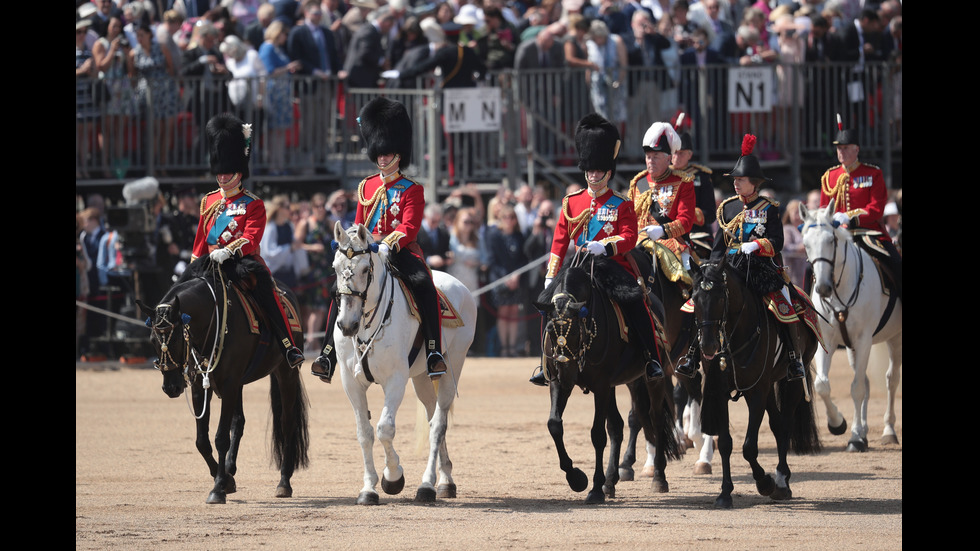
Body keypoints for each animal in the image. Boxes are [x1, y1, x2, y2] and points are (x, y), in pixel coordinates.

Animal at [136, 258, 308, 504]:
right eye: (151, 339)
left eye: (176, 338)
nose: (171, 387)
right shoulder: (202, 386)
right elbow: (202, 440)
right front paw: (226, 480)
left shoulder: (228, 384)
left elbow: (220, 438)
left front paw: (218, 487)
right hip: (240, 384)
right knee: (239, 421)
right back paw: (230, 468)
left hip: (286, 373)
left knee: (287, 423)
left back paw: (284, 481)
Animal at [334, 224, 478, 504]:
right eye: (335, 267)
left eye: (365, 269)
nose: (347, 325)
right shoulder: (350, 383)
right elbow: (364, 433)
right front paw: (368, 489)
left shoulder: (396, 380)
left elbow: (384, 429)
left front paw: (393, 478)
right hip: (421, 379)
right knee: (433, 419)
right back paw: (445, 480)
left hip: (451, 368)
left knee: (438, 425)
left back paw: (427, 485)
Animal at [532, 254, 676, 504]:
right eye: (549, 328)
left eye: (575, 331)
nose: (567, 374)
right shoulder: (559, 383)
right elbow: (554, 425)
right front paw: (576, 478)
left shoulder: (600, 385)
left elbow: (597, 434)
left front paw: (595, 488)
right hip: (613, 386)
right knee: (617, 426)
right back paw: (611, 481)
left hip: (652, 379)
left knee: (656, 419)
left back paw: (658, 477)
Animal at [692, 254, 824, 508]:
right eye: (694, 298)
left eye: (720, 297)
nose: (708, 346)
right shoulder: (722, 392)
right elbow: (726, 444)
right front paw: (725, 493)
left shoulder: (756, 391)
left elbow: (749, 447)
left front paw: (765, 482)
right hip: (767, 386)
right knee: (778, 424)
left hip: (792, 380)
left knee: (785, 425)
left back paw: (781, 482)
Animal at [800, 203, 900, 452]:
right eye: (806, 243)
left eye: (831, 240)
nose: (822, 288)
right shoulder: (828, 339)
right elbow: (823, 385)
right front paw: (839, 424)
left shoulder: (864, 339)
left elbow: (857, 388)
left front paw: (854, 437)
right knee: (865, 380)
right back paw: (863, 431)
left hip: (895, 338)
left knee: (891, 380)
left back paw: (888, 430)